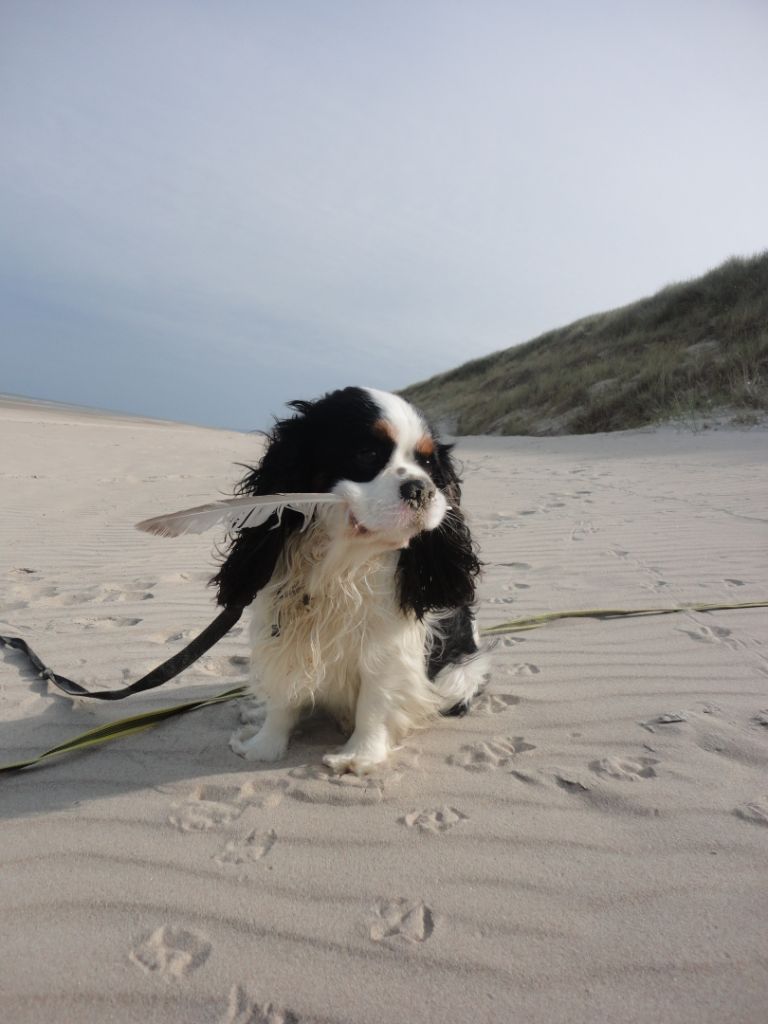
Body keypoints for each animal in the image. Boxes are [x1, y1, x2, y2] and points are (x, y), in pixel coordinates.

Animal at [211, 385, 487, 774]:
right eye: (367, 453)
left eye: (429, 465)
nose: (420, 488)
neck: (342, 561)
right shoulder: (282, 626)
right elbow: (284, 694)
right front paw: (264, 746)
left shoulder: (388, 642)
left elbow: (376, 697)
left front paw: (360, 756)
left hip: (457, 676)